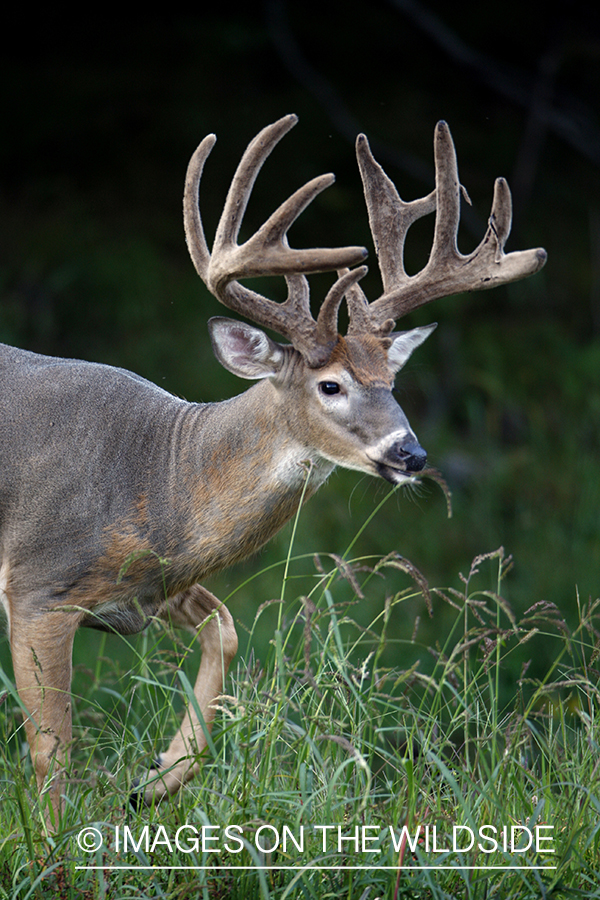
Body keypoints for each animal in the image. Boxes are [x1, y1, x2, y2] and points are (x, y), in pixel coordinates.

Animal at [0, 112, 544, 824]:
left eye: (393, 381)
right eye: (331, 385)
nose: (412, 454)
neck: (159, 477)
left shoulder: (146, 592)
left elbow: (227, 630)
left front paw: (158, 779)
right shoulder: (38, 586)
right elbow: (53, 753)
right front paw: (55, 844)